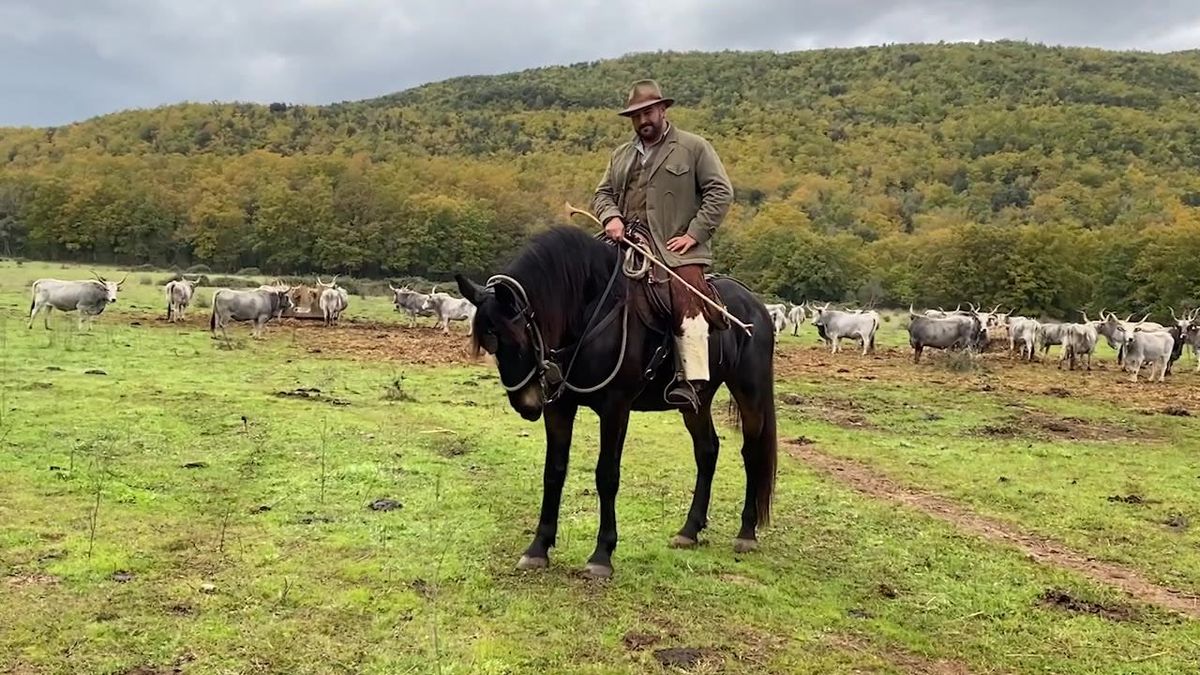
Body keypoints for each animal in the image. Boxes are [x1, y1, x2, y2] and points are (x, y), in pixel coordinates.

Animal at [451, 225, 777, 578]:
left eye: (518, 337)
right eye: (489, 343)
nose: (527, 404)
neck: (588, 314)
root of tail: (755, 306)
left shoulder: (615, 409)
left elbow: (607, 475)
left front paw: (601, 555)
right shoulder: (558, 408)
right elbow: (553, 471)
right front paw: (538, 548)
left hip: (749, 393)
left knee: (752, 453)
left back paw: (746, 533)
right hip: (697, 401)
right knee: (707, 451)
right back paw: (689, 530)